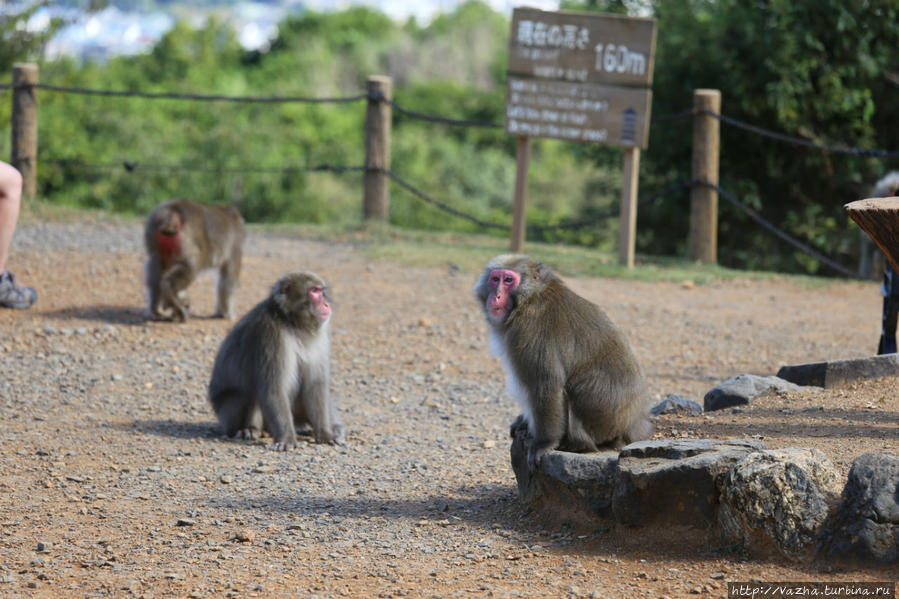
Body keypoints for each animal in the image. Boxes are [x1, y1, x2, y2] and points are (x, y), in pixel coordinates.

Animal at [208, 270, 344, 450]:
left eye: (321, 291)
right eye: (314, 291)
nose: (326, 304)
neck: (292, 322)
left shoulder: (319, 337)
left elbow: (315, 384)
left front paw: (325, 433)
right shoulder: (269, 333)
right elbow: (273, 387)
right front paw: (286, 438)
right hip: (228, 413)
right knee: (248, 394)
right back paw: (250, 429)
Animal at [472, 255, 652, 472]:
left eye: (508, 280)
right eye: (494, 279)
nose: (496, 296)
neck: (530, 297)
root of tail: (633, 424)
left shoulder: (529, 331)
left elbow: (546, 385)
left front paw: (544, 443)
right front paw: (523, 421)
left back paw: (576, 445)